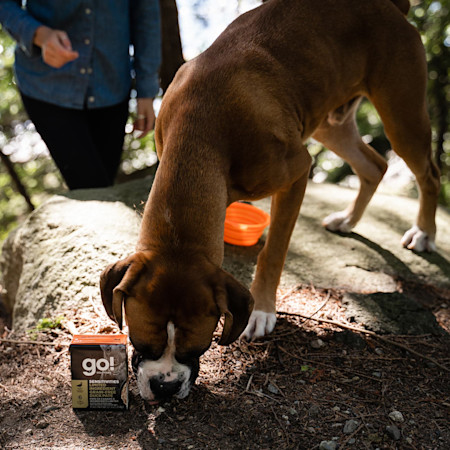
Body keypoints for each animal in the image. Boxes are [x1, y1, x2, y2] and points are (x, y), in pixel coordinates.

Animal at [101, 0, 440, 402]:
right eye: (140, 343)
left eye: (199, 348)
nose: (164, 387)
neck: (201, 129)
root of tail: (389, 6)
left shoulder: (297, 172)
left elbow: (273, 250)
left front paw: (262, 310)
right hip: (329, 121)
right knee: (375, 165)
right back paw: (349, 220)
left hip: (402, 116)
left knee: (429, 173)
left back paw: (424, 232)